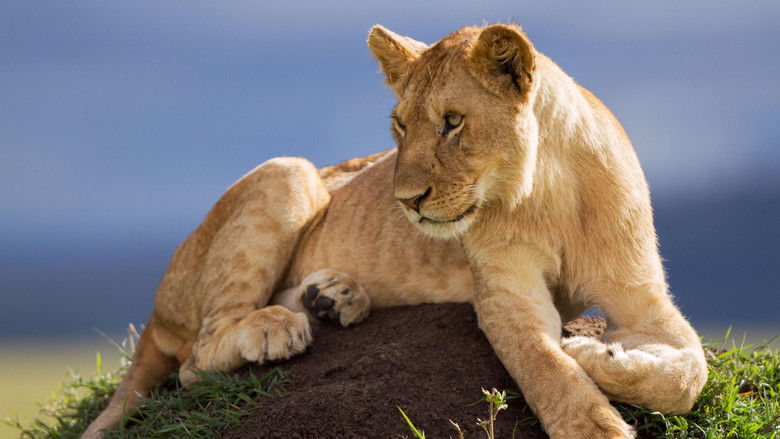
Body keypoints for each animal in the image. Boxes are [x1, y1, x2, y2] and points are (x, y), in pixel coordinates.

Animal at [84, 24, 708, 439]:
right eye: (400, 126)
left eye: (453, 122)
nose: (405, 201)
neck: (548, 189)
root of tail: (158, 306)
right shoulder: (506, 298)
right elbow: (545, 368)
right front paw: (591, 411)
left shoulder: (641, 295)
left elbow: (689, 373)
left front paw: (604, 356)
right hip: (289, 171)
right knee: (195, 360)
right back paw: (275, 327)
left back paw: (332, 298)